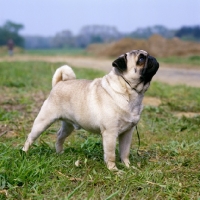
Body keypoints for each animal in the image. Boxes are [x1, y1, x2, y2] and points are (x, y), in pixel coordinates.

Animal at [22, 50, 159, 170]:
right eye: (141, 59)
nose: (152, 58)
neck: (128, 91)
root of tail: (59, 83)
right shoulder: (110, 133)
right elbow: (111, 155)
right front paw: (113, 170)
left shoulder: (127, 133)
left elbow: (125, 152)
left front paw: (128, 166)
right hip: (43, 122)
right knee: (30, 137)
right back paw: (24, 152)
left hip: (68, 126)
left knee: (60, 135)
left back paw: (59, 152)